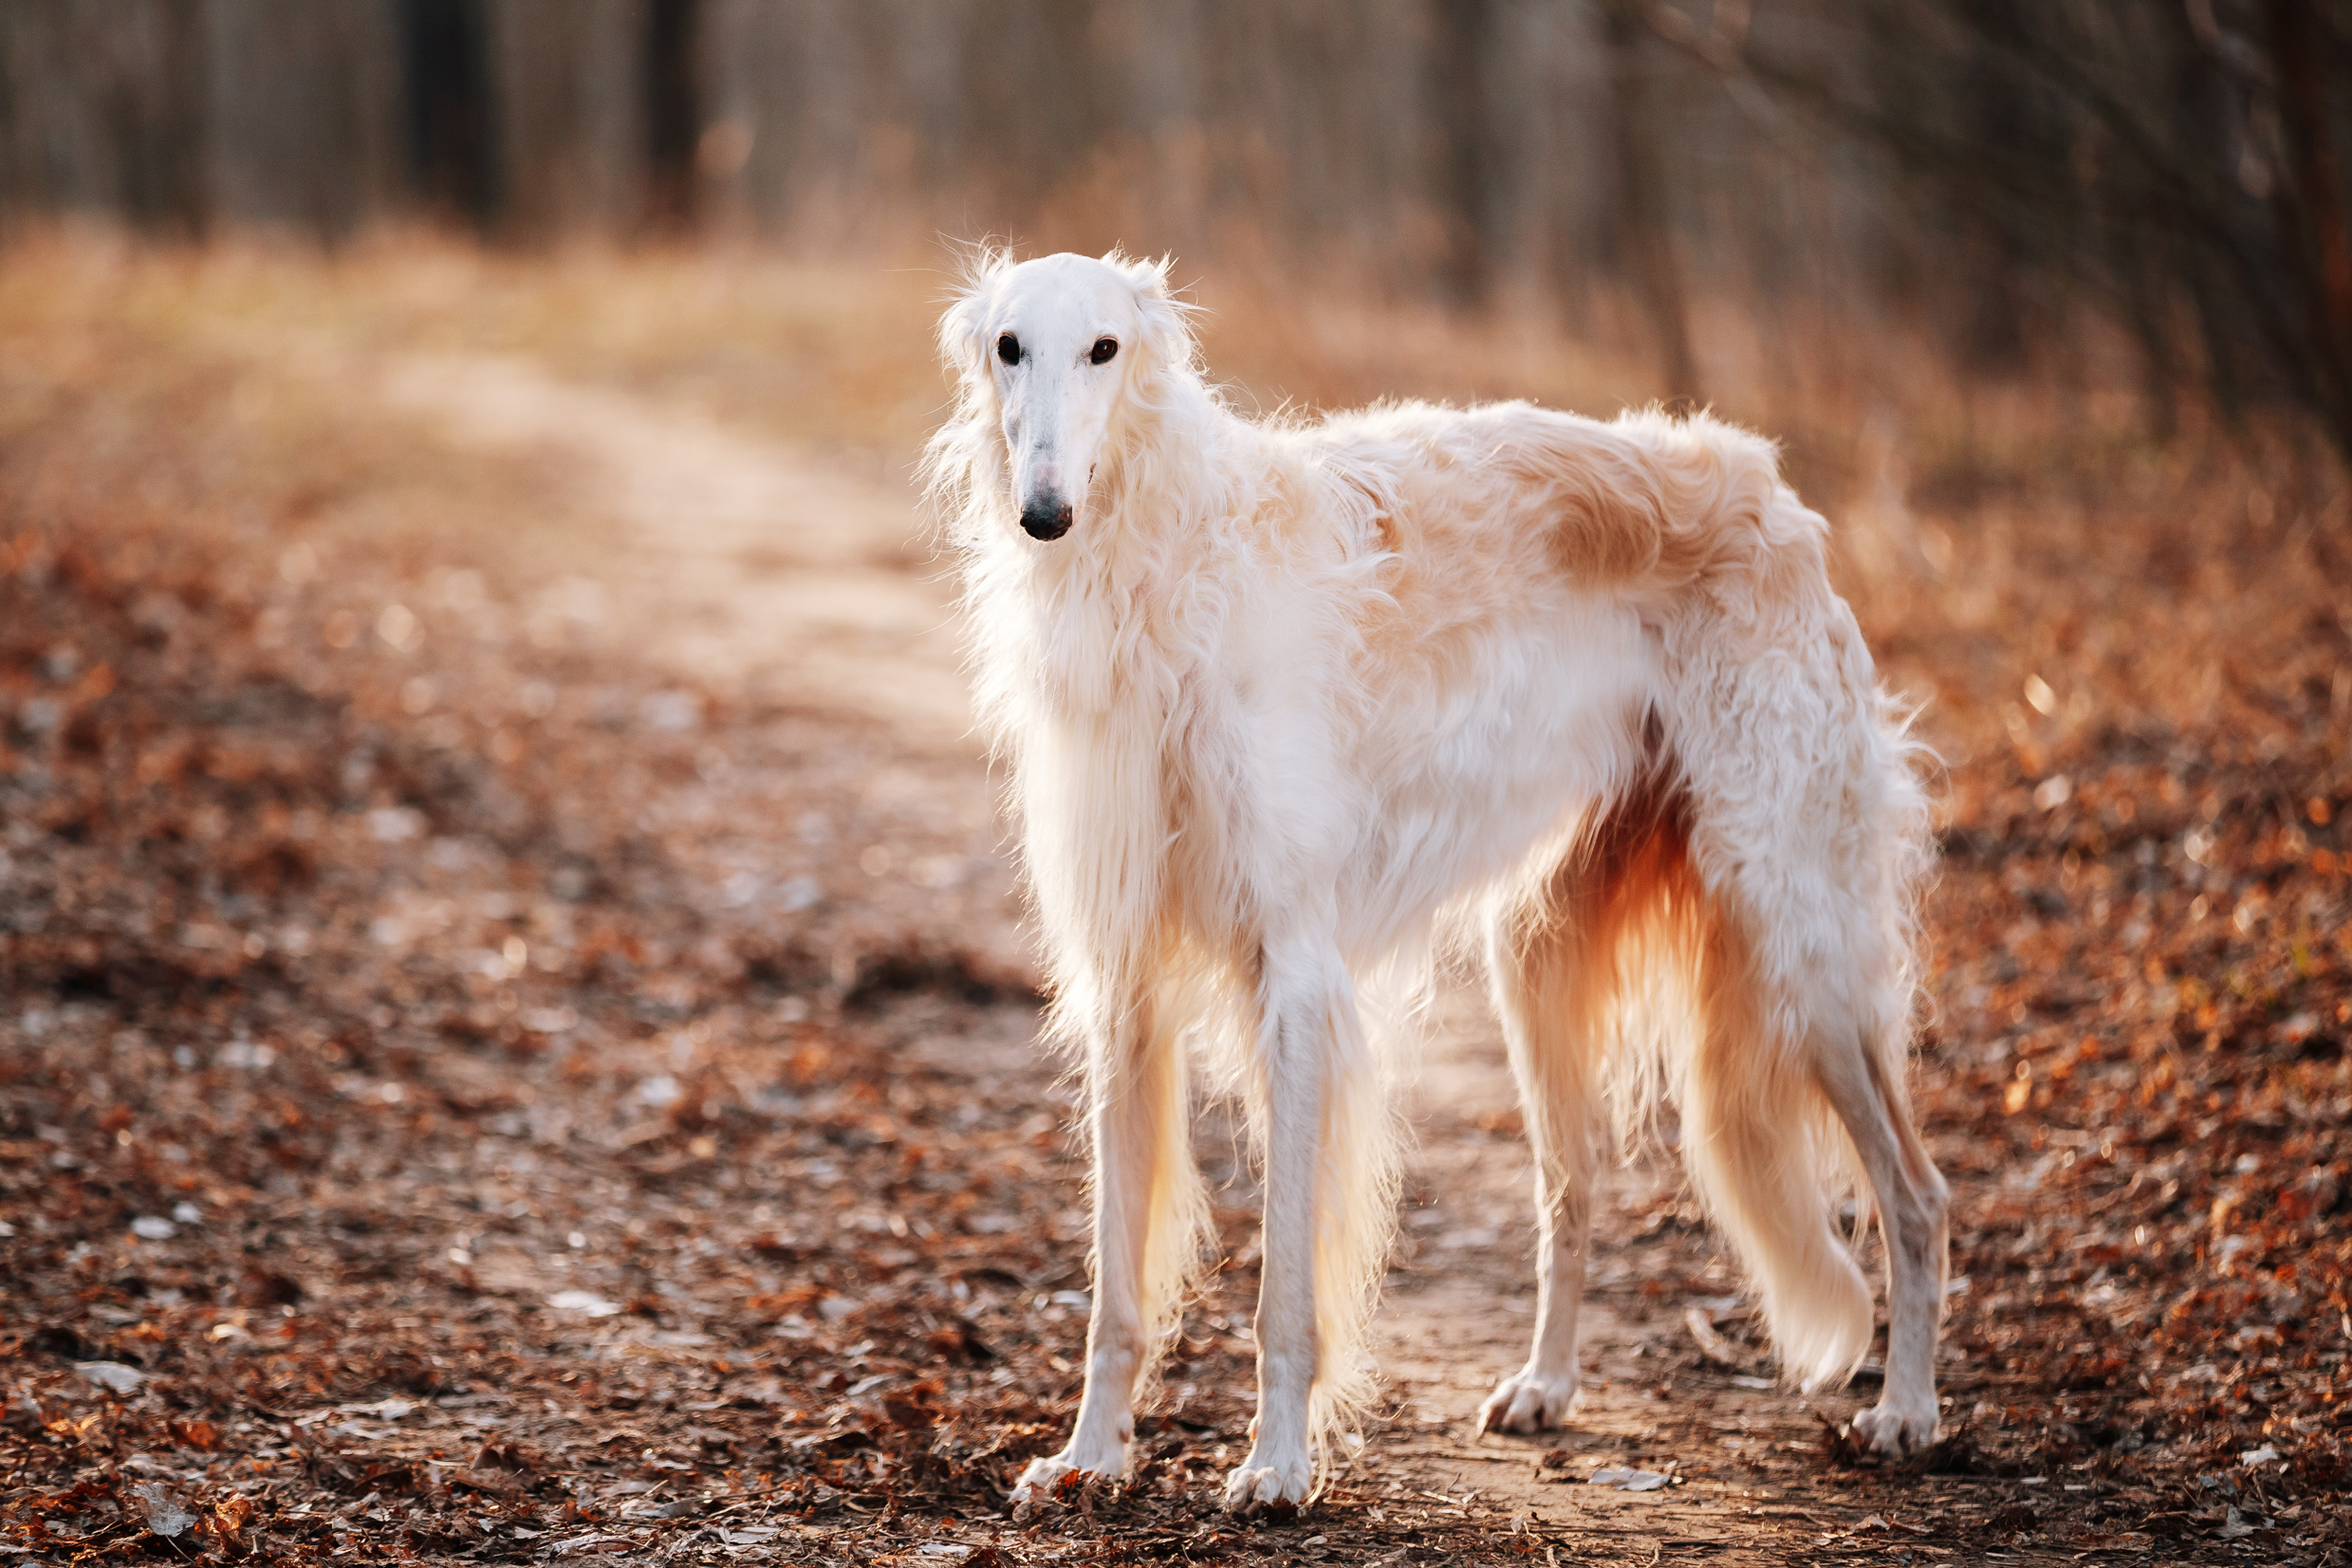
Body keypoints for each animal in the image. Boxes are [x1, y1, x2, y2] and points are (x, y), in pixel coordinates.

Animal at [921, 251, 1947, 1513]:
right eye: (1008, 346)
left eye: (1104, 349)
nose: (1045, 514)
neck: (1168, 569)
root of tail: (1777, 496)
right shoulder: (1125, 981)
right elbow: (1116, 1284)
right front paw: (1089, 1456)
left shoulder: (1293, 973)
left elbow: (1285, 1288)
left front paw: (1276, 1466)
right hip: (1541, 958)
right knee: (1574, 1188)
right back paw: (1545, 1386)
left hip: (1795, 934)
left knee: (1916, 1192)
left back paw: (1907, 1410)